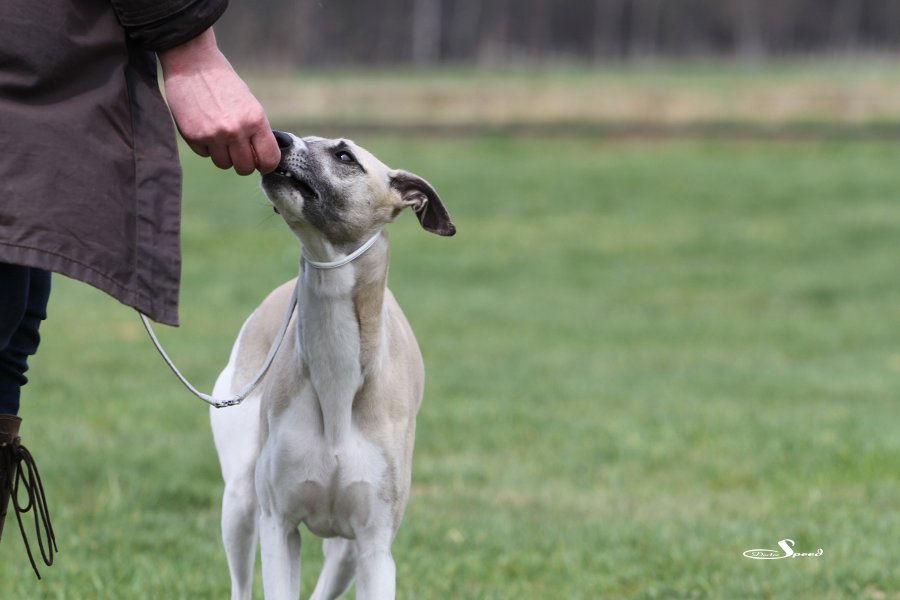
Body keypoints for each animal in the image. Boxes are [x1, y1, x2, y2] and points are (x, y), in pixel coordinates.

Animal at [208, 132, 454, 600]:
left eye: (344, 155)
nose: (278, 137)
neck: (337, 381)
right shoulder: (279, 526)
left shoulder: (375, 546)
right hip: (240, 501)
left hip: (346, 553)